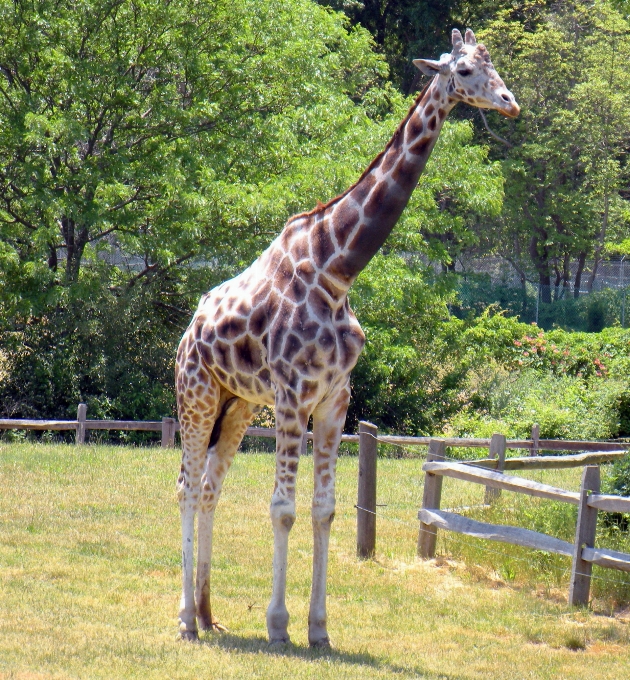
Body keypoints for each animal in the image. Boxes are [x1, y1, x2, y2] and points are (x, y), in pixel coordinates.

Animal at [177, 27, 520, 648]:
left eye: (493, 65)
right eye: (462, 70)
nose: (510, 103)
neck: (337, 270)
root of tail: (188, 332)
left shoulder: (335, 399)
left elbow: (325, 510)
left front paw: (319, 629)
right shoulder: (293, 396)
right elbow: (283, 508)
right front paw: (279, 625)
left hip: (236, 405)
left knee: (211, 487)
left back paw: (211, 614)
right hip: (197, 395)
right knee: (187, 488)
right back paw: (186, 620)